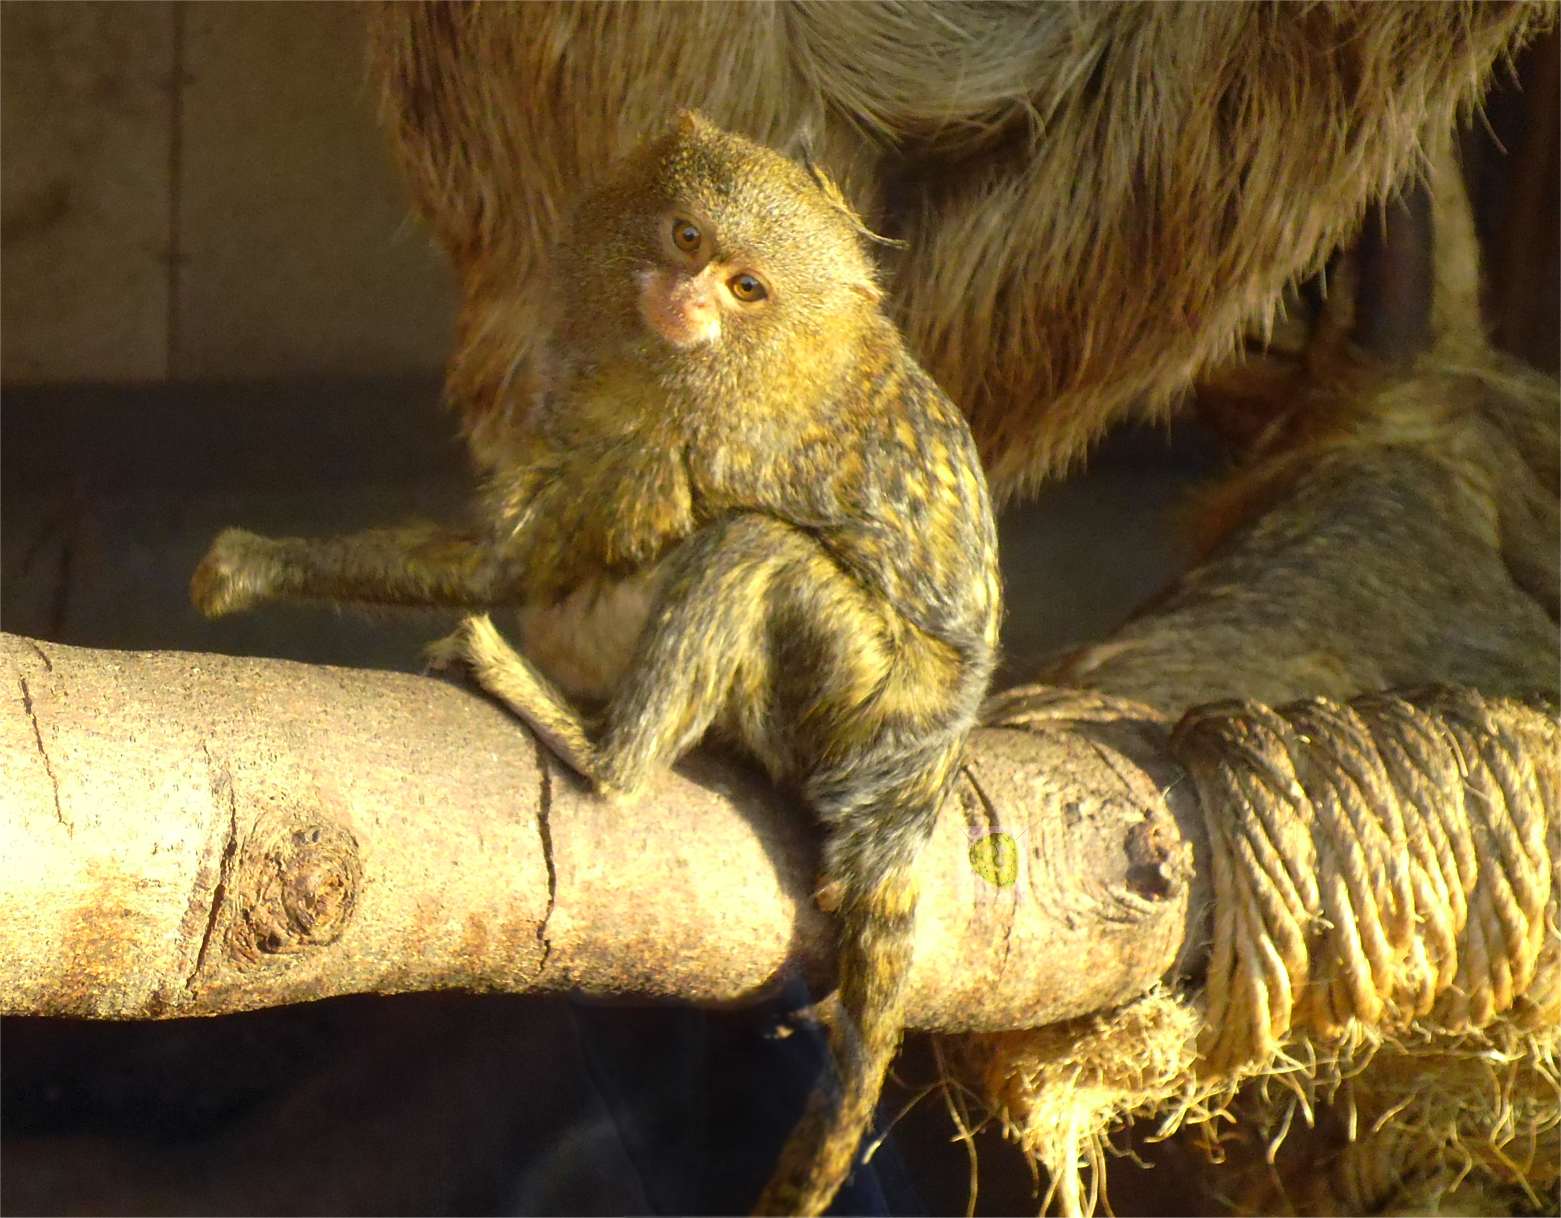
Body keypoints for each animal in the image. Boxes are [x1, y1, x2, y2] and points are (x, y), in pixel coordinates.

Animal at [191, 111, 1002, 1216]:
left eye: (746, 287)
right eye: (688, 238)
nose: (686, 295)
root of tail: (916, 779)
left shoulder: (677, 444)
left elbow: (524, 559)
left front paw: (261, 563)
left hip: (857, 691)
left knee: (750, 547)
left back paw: (600, 750)